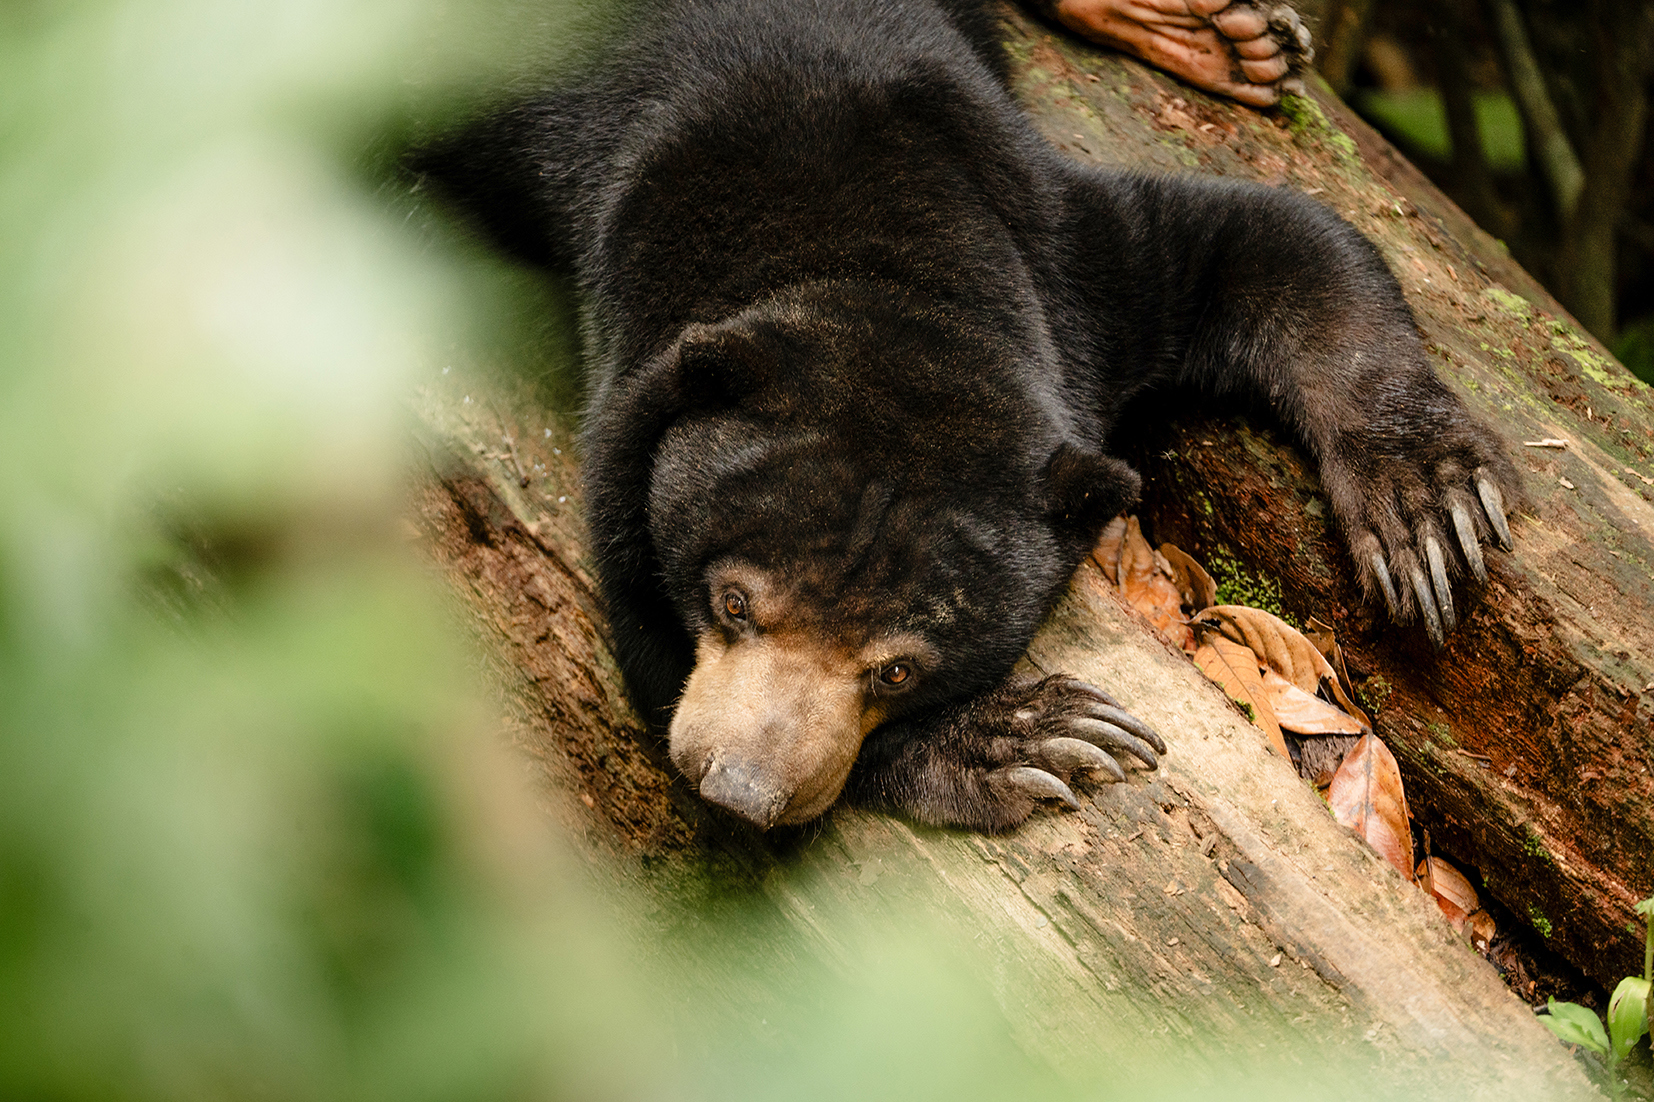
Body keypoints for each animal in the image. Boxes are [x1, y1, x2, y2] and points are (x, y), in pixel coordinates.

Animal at [416, 0, 1518, 832]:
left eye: (901, 666)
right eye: (731, 604)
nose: (742, 793)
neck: (876, 259)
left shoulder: (1066, 262)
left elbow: (1272, 239)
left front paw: (1429, 516)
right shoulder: (631, 367)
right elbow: (642, 633)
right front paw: (1017, 740)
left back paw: (1221, 34)